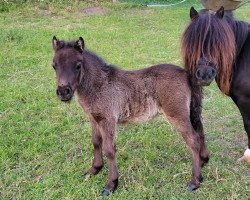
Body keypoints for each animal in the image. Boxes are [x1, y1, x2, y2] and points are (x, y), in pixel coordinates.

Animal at [51, 36, 208, 195]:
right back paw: (203, 162)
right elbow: (95, 142)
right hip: (190, 112)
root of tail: (186, 73)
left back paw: (195, 181)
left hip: (177, 114)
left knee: (193, 140)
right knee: (200, 132)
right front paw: (94, 170)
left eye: (78, 65)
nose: (63, 92)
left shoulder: (108, 120)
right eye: (54, 66)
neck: (98, 85)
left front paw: (111, 184)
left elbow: (109, 149)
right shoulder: (94, 119)